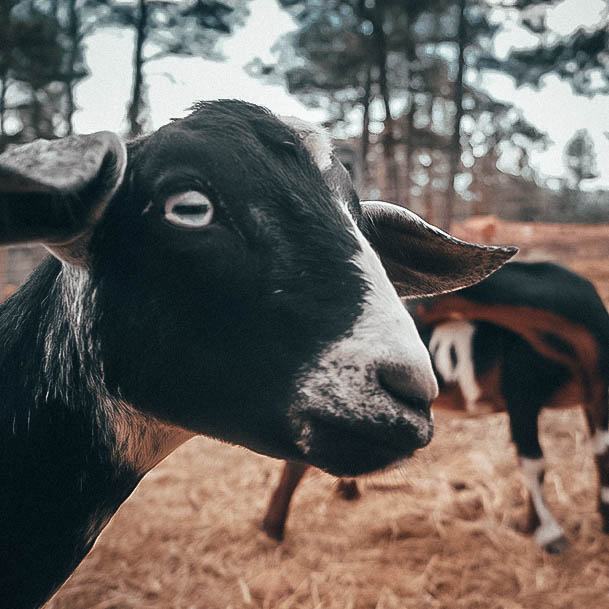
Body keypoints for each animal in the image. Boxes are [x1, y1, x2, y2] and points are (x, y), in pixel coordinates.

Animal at [264, 258, 608, 552]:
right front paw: (547, 533)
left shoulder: (596, 396)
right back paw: (273, 528)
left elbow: (599, 450)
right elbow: (534, 462)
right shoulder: (521, 394)